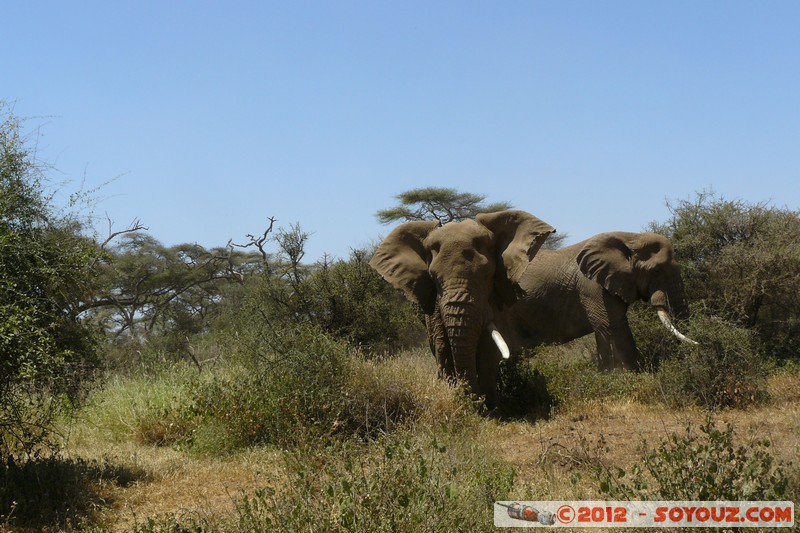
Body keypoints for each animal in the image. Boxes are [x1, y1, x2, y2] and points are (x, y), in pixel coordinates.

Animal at [370, 210, 552, 406]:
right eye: (433, 278)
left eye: (487, 275)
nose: (474, 399)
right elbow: (443, 348)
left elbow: (489, 350)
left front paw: (489, 407)